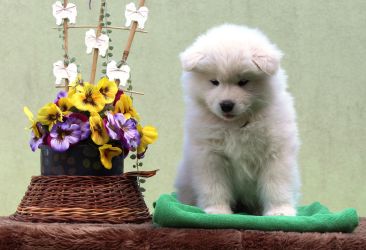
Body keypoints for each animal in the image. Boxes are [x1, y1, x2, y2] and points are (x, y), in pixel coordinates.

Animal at [175, 24, 300, 216]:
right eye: (214, 82)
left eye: (243, 82)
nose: (226, 105)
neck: (235, 124)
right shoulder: (210, 156)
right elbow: (214, 186)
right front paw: (217, 210)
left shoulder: (275, 153)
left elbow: (276, 185)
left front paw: (280, 211)